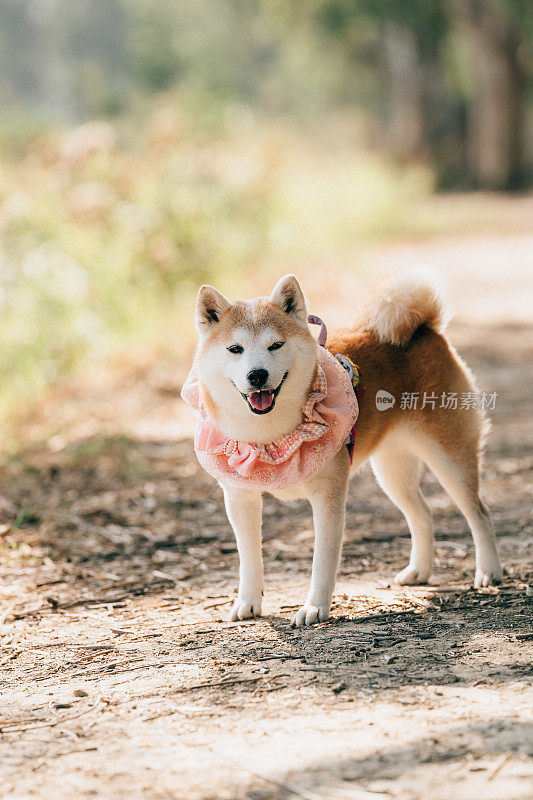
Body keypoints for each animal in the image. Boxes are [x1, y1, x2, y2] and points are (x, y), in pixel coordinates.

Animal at [185, 272, 500, 628]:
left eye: (275, 345)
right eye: (235, 349)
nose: (257, 375)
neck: (270, 433)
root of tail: (424, 329)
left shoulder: (328, 498)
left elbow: (322, 561)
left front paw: (314, 608)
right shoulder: (241, 498)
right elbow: (249, 557)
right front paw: (249, 602)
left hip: (449, 458)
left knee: (479, 513)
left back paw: (489, 572)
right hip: (392, 471)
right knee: (423, 514)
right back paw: (419, 571)